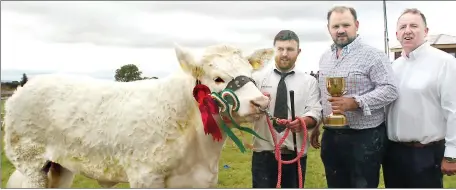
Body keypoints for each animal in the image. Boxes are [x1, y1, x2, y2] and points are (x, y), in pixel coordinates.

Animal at [2, 43, 274, 188]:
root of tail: (23, 88)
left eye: (251, 73)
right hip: (31, 164)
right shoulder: (146, 177)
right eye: (217, 78)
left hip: (60, 167)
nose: (260, 102)